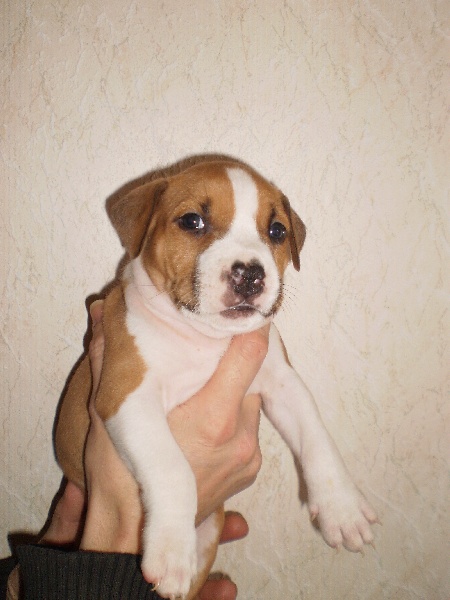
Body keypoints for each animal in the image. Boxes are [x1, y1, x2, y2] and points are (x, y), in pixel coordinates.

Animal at [55, 159, 378, 599]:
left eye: (277, 231)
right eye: (192, 221)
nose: (250, 274)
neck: (206, 341)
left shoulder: (284, 384)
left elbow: (317, 438)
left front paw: (342, 509)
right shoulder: (126, 397)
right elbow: (173, 469)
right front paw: (171, 553)